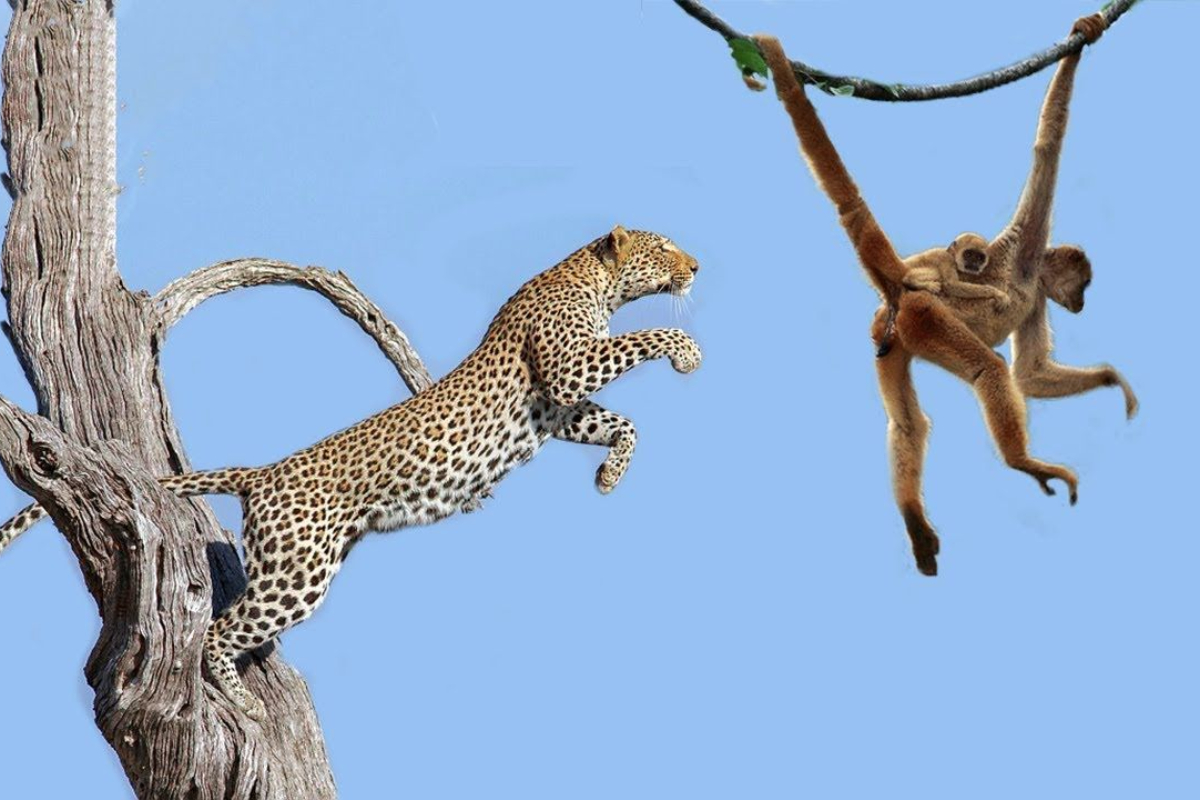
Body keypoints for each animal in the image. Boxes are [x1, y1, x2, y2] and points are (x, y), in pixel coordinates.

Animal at [0, 225, 702, 718]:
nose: (696, 267)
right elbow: (640, 341)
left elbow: (619, 422)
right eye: (664, 246)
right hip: (299, 572)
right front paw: (687, 351)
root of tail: (263, 472)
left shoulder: (559, 407)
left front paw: (610, 475)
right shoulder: (566, 369)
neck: (594, 282)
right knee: (218, 632)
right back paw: (241, 697)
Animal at [754, 15, 1137, 575]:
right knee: (988, 371)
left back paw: (914, 516)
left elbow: (1032, 375)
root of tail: (899, 290)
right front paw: (1083, 35)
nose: (1084, 303)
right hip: (926, 318)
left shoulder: (1037, 299)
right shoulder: (1028, 242)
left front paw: (1110, 378)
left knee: (908, 424)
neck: (1031, 276)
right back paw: (1023, 461)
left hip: (891, 335)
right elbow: (1048, 144)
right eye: (1085, 284)